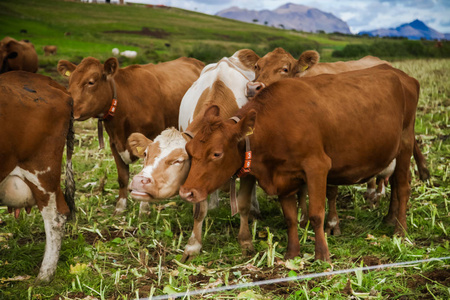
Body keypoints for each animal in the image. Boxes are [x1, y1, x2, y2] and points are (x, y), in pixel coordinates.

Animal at [58, 56, 204, 214]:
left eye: (91, 82)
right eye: (70, 82)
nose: (68, 107)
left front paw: (144, 209)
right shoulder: (114, 143)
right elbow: (122, 177)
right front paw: (120, 207)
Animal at [126, 48, 260, 260]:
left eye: (179, 160)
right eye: (146, 153)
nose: (140, 181)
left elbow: (244, 204)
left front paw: (246, 241)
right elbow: (199, 209)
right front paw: (193, 245)